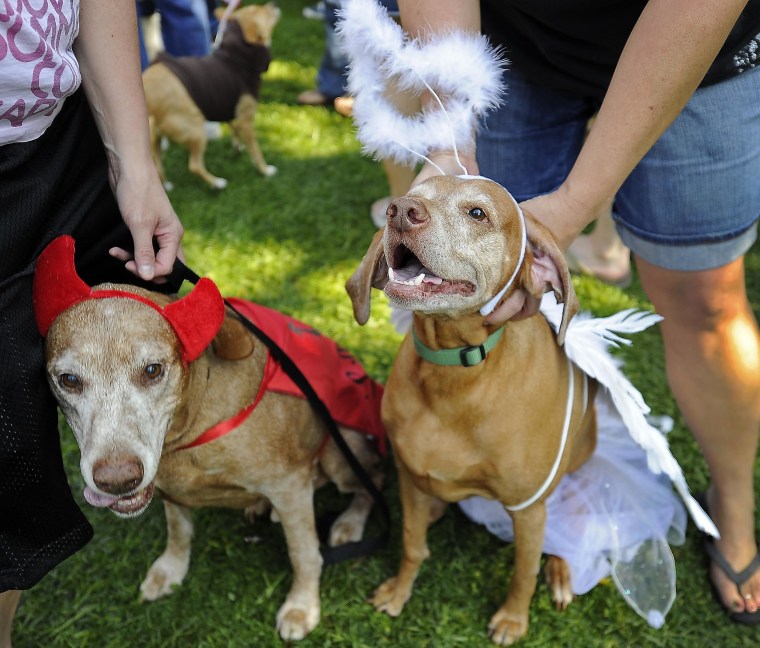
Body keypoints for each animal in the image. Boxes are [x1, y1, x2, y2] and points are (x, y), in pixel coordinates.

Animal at [142, 2, 280, 189]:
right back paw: (217, 183)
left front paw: (237, 147)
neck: (236, 57)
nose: (273, 4)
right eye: (258, 10)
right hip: (194, 127)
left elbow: (235, 130)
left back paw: (167, 185)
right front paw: (265, 170)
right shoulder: (246, 119)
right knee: (194, 165)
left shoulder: (229, 111)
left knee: (156, 163)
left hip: (157, 137)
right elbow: (256, 151)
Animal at [346, 175, 600, 644]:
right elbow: (411, 543)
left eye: (477, 212)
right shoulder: (410, 479)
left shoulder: (527, 508)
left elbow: (523, 571)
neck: (454, 378)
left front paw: (513, 619)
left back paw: (560, 572)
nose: (400, 211)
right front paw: (399, 591)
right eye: (413, 194)